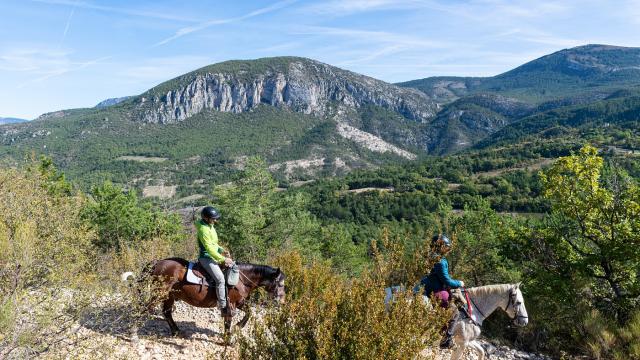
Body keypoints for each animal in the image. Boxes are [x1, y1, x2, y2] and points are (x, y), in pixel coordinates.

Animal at [124, 258, 284, 338]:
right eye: (280, 283)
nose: (281, 302)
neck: (240, 279)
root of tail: (157, 263)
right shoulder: (230, 304)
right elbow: (228, 321)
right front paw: (229, 337)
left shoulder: (239, 302)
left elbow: (249, 312)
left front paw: (239, 326)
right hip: (159, 294)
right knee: (145, 309)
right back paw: (133, 333)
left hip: (169, 295)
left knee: (167, 312)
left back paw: (177, 331)